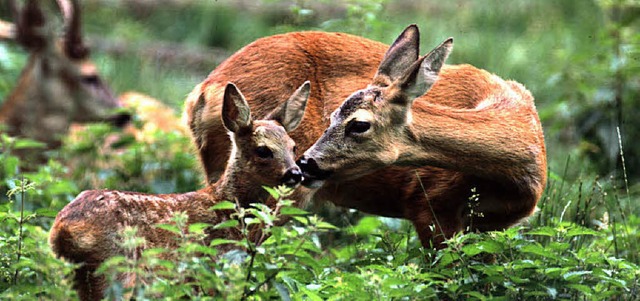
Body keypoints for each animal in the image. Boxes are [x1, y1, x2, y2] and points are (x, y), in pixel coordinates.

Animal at [50, 81, 310, 298]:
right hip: (114, 267)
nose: (295, 173)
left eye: (293, 147)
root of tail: (63, 230)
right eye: (263, 150)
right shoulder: (212, 269)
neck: (225, 207)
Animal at [184, 24, 544, 247]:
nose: (307, 163)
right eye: (331, 116)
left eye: (358, 124)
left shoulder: (488, 227)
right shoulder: (428, 200)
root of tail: (201, 93)